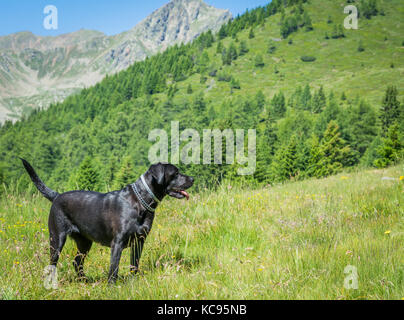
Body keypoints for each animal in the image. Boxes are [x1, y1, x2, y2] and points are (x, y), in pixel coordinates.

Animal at [20, 159, 194, 284]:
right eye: (175, 173)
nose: (192, 178)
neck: (140, 200)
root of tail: (56, 196)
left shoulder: (139, 241)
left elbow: (134, 264)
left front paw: (133, 282)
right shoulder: (117, 242)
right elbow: (114, 268)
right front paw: (112, 286)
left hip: (84, 242)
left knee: (77, 262)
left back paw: (84, 280)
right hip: (56, 239)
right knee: (53, 264)